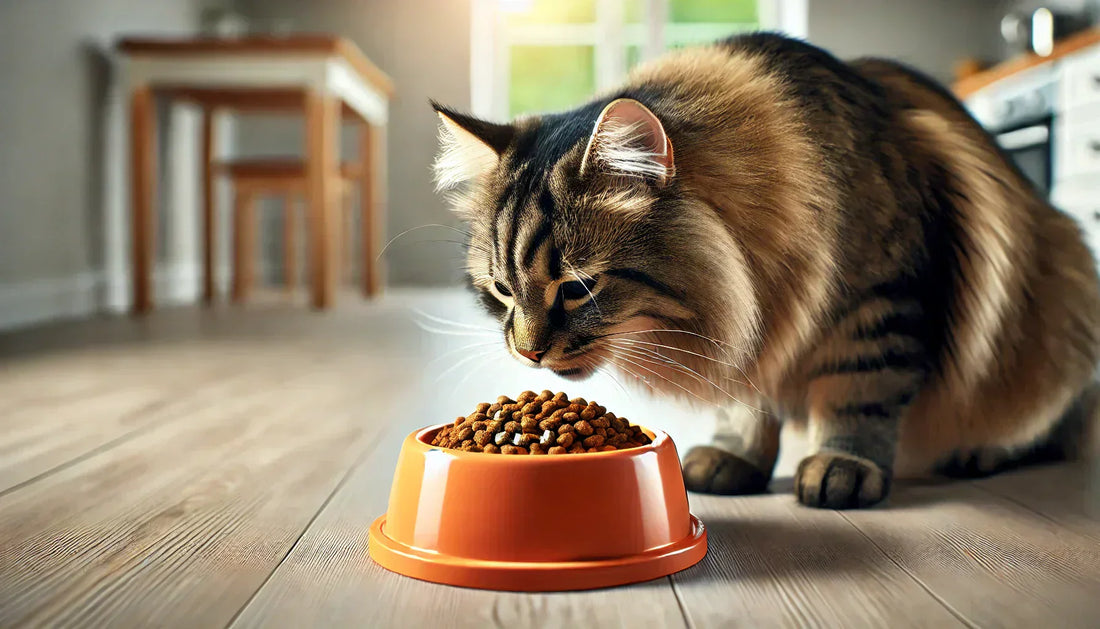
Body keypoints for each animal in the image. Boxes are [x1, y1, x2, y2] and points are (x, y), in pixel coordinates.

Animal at [426, 31, 1100, 508]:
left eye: (576, 288)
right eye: (501, 290)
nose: (527, 353)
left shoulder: (878, 301)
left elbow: (858, 395)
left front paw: (842, 466)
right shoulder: (761, 325)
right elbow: (746, 404)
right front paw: (735, 460)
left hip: (1059, 309)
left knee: (1054, 421)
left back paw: (981, 452)